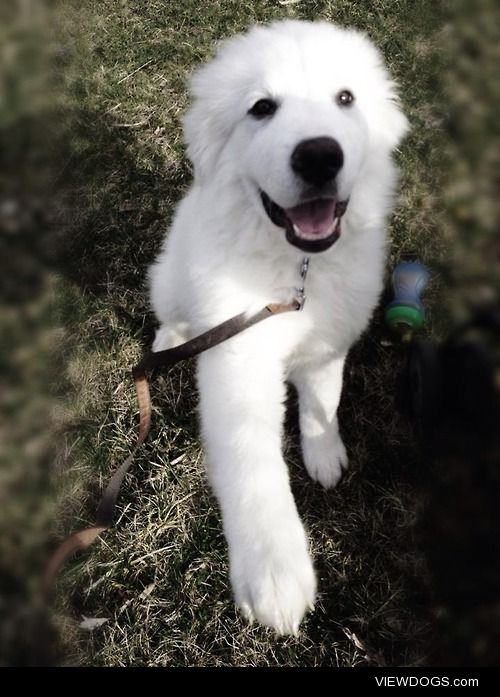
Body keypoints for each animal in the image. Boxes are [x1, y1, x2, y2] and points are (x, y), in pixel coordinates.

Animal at [148, 20, 406, 636]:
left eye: (345, 99)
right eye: (261, 108)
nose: (319, 157)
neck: (297, 267)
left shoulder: (328, 342)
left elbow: (322, 402)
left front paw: (324, 455)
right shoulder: (239, 359)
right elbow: (250, 459)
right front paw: (274, 569)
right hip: (169, 279)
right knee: (171, 311)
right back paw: (170, 338)